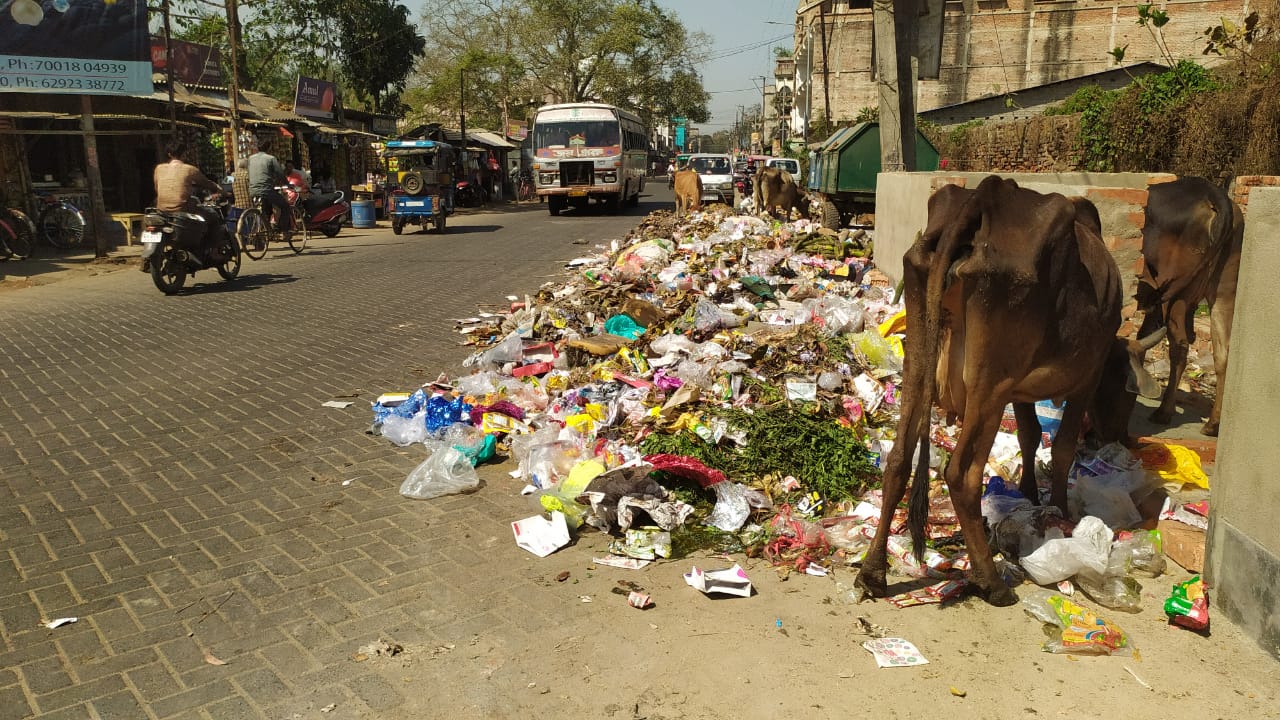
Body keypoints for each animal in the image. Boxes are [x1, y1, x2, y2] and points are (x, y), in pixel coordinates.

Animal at [855, 175, 1167, 604]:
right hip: (990, 384)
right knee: (962, 475)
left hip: (919, 360)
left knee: (899, 458)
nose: (1121, 438)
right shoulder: (1084, 380)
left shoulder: (1019, 392)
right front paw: (1058, 509)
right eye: (1126, 394)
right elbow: (1062, 447)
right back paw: (990, 579)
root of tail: (983, 197)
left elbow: (1029, 435)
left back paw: (872, 572)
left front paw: (1030, 495)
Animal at [1136, 175, 1244, 430]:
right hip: (1223, 291)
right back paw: (1213, 423)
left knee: (1180, 346)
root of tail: (1213, 192)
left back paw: (1164, 412)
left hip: (1175, 292)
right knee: (1223, 351)